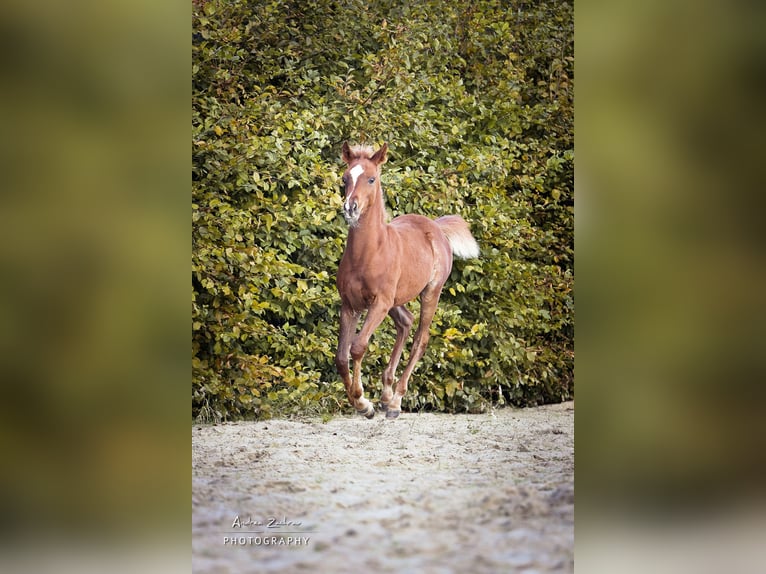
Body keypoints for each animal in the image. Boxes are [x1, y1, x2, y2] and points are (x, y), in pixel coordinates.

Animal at [336, 142, 480, 420]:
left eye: (371, 179)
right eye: (345, 178)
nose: (350, 209)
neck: (368, 253)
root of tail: (436, 227)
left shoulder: (379, 304)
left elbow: (357, 346)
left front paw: (363, 403)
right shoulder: (350, 305)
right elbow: (341, 356)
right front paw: (363, 403)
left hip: (430, 293)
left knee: (420, 340)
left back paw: (395, 402)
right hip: (396, 300)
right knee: (405, 322)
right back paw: (386, 395)